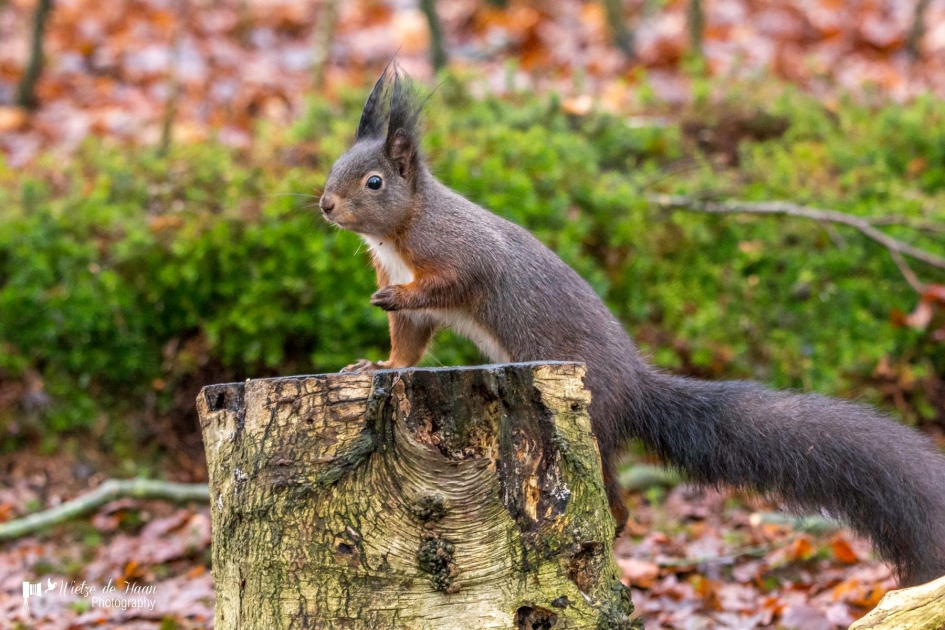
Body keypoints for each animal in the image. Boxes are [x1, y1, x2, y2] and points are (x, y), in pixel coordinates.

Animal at [320, 65, 944, 588]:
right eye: (333, 169)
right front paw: (379, 365)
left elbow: (451, 283)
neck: (401, 230)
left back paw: (614, 530)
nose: (325, 205)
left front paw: (390, 298)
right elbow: (409, 344)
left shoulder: (460, 254)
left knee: (614, 494)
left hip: (588, 424)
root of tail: (634, 386)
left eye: (374, 182)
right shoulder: (414, 307)